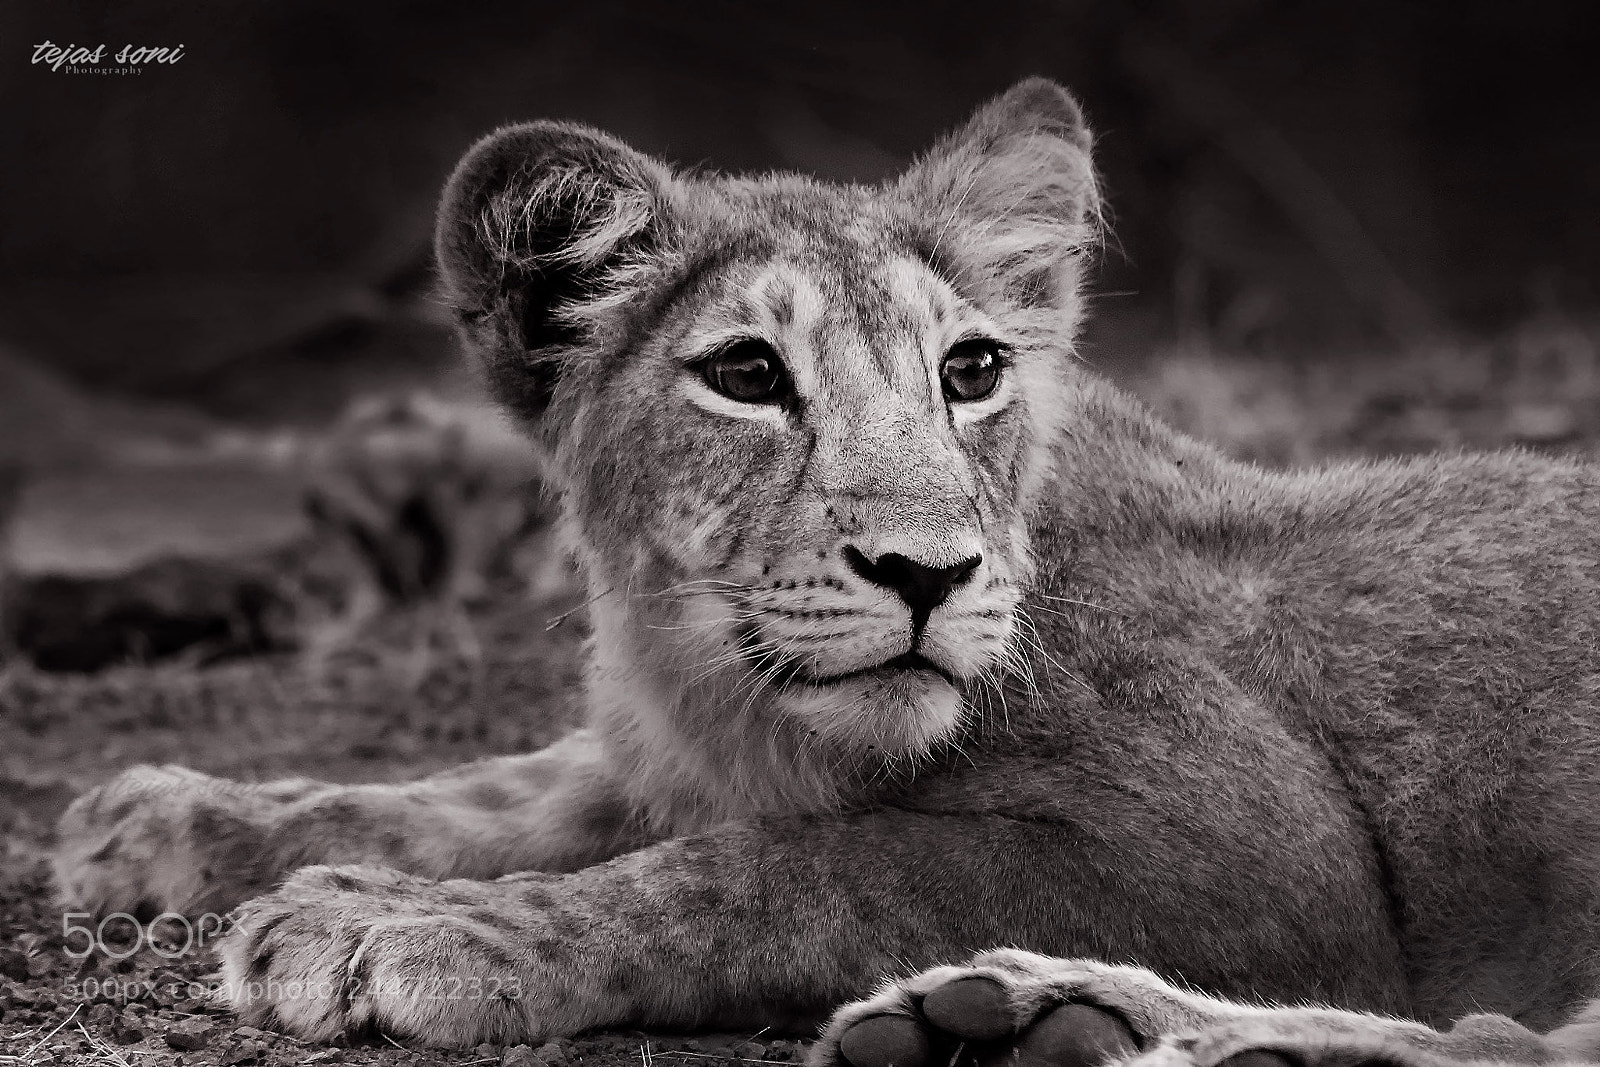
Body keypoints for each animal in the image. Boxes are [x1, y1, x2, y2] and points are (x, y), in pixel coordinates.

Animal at [52, 79, 1600, 1067]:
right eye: (747, 374)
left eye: (969, 370)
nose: (927, 572)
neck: (718, 684)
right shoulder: (658, 743)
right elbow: (493, 787)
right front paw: (171, 820)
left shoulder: (1260, 854)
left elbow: (780, 869)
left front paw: (401, 924)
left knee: (1508, 1043)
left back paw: (1073, 1025)